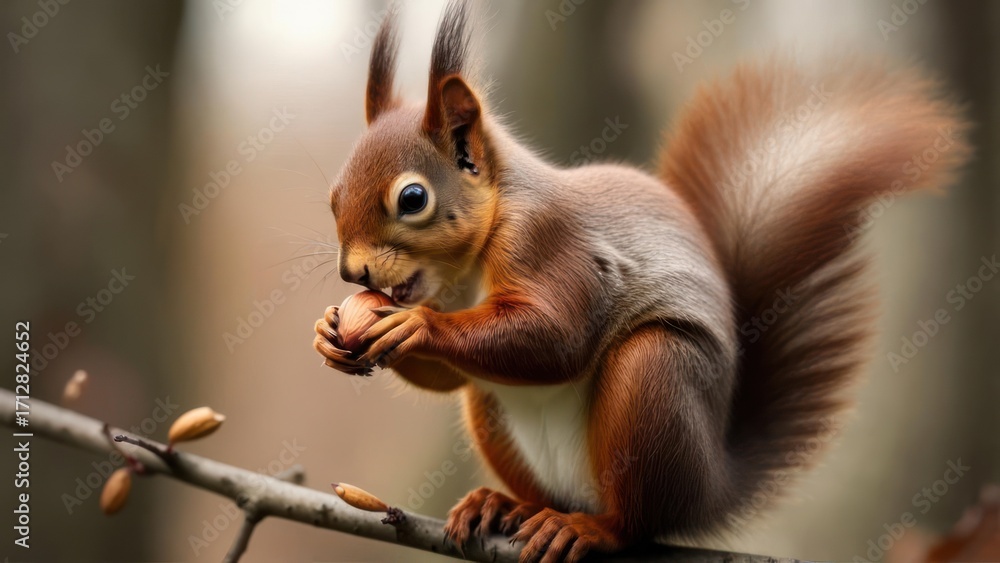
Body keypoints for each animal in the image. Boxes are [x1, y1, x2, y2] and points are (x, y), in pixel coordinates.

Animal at [312, 2, 970, 561]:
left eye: (413, 198)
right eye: (334, 196)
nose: (353, 272)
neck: (468, 267)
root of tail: (713, 486)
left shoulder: (550, 241)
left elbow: (556, 339)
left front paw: (415, 324)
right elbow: (449, 378)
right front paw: (328, 331)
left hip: (656, 378)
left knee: (638, 518)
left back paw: (590, 529)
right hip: (495, 413)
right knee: (498, 421)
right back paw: (505, 504)